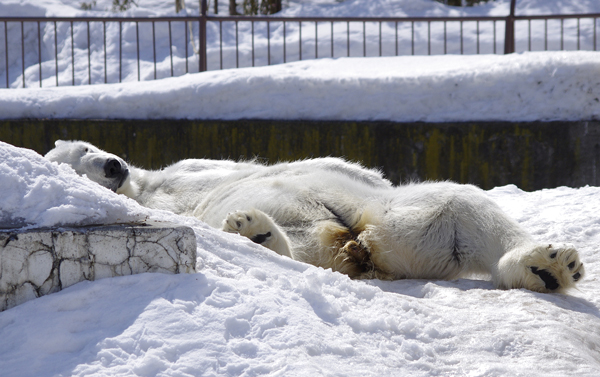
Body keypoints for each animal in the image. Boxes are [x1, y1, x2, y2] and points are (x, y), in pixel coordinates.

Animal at [45, 140, 584, 292]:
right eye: (74, 167)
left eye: (86, 148)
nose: (112, 166)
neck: (147, 191)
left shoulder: (188, 169)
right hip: (384, 238)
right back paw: (258, 232)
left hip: (398, 223)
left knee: (459, 207)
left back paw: (550, 265)